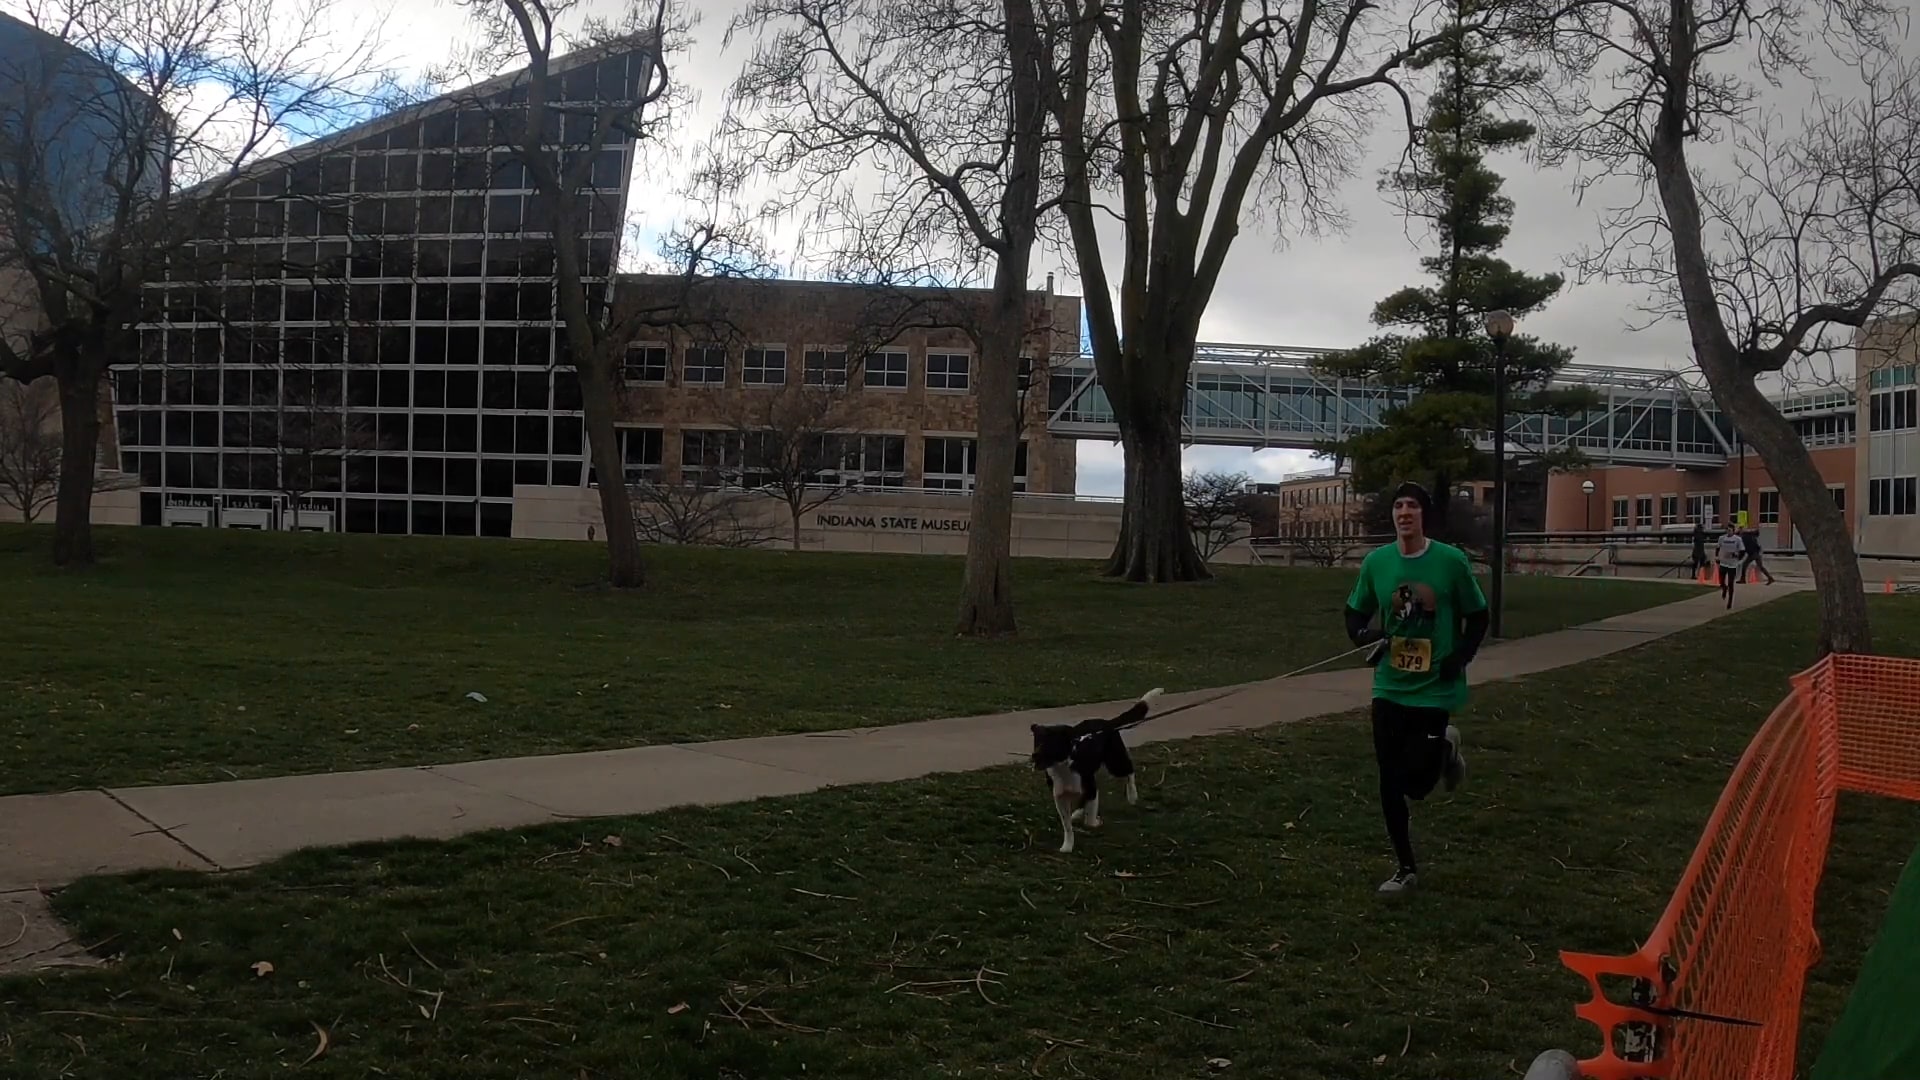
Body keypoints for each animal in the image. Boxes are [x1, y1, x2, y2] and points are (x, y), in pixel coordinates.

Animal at [1029, 687, 1159, 849]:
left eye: (1051, 742)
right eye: (1037, 741)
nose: (1034, 755)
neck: (1064, 766)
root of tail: (1107, 723)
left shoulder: (1089, 785)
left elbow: (1089, 820)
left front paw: (1094, 822)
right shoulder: (1060, 797)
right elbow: (1067, 825)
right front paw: (1067, 846)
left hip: (1115, 762)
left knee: (1129, 772)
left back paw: (1132, 794)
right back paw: (1078, 812)